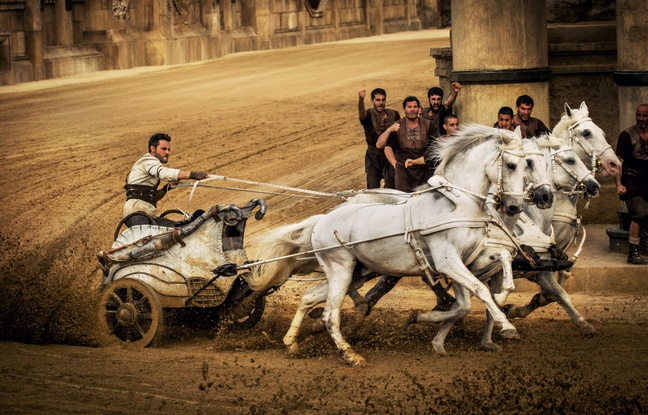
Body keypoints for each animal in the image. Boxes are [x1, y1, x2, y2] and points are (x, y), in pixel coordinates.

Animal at [251, 125, 528, 366]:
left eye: (527, 164)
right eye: (511, 165)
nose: (515, 206)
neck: (457, 204)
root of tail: (321, 220)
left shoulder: (469, 260)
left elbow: (490, 274)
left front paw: (502, 293)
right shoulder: (447, 262)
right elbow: (479, 290)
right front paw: (507, 325)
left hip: (355, 274)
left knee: (309, 297)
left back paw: (291, 343)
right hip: (340, 270)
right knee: (330, 314)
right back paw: (350, 355)